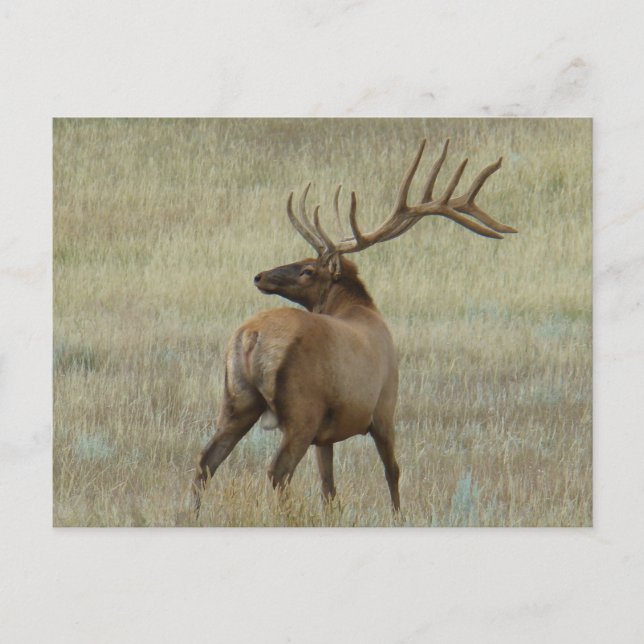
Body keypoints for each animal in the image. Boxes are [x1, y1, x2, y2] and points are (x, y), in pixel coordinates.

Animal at [192, 138, 516, 516]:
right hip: (301, 409)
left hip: (237, 400)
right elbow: (393, 471)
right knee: (277, 471)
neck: (361, 308)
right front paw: (398, 516)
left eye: (307, 268)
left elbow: (329, 487)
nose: (259, 276)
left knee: (206, 461)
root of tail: (251, 336)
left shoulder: (326, 434)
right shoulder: (384, 405)